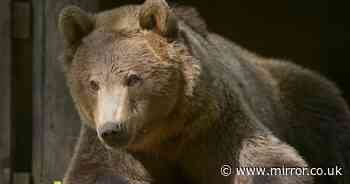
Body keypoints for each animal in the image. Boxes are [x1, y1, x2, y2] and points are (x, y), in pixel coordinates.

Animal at [58, 0, 350, 183]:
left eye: (133, 78)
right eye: (93, 83)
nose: (113, 129)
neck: (163, 132)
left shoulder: (213, 124)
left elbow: (270, 162)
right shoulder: (112, 143)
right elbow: (100, 172)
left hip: (300, 103)